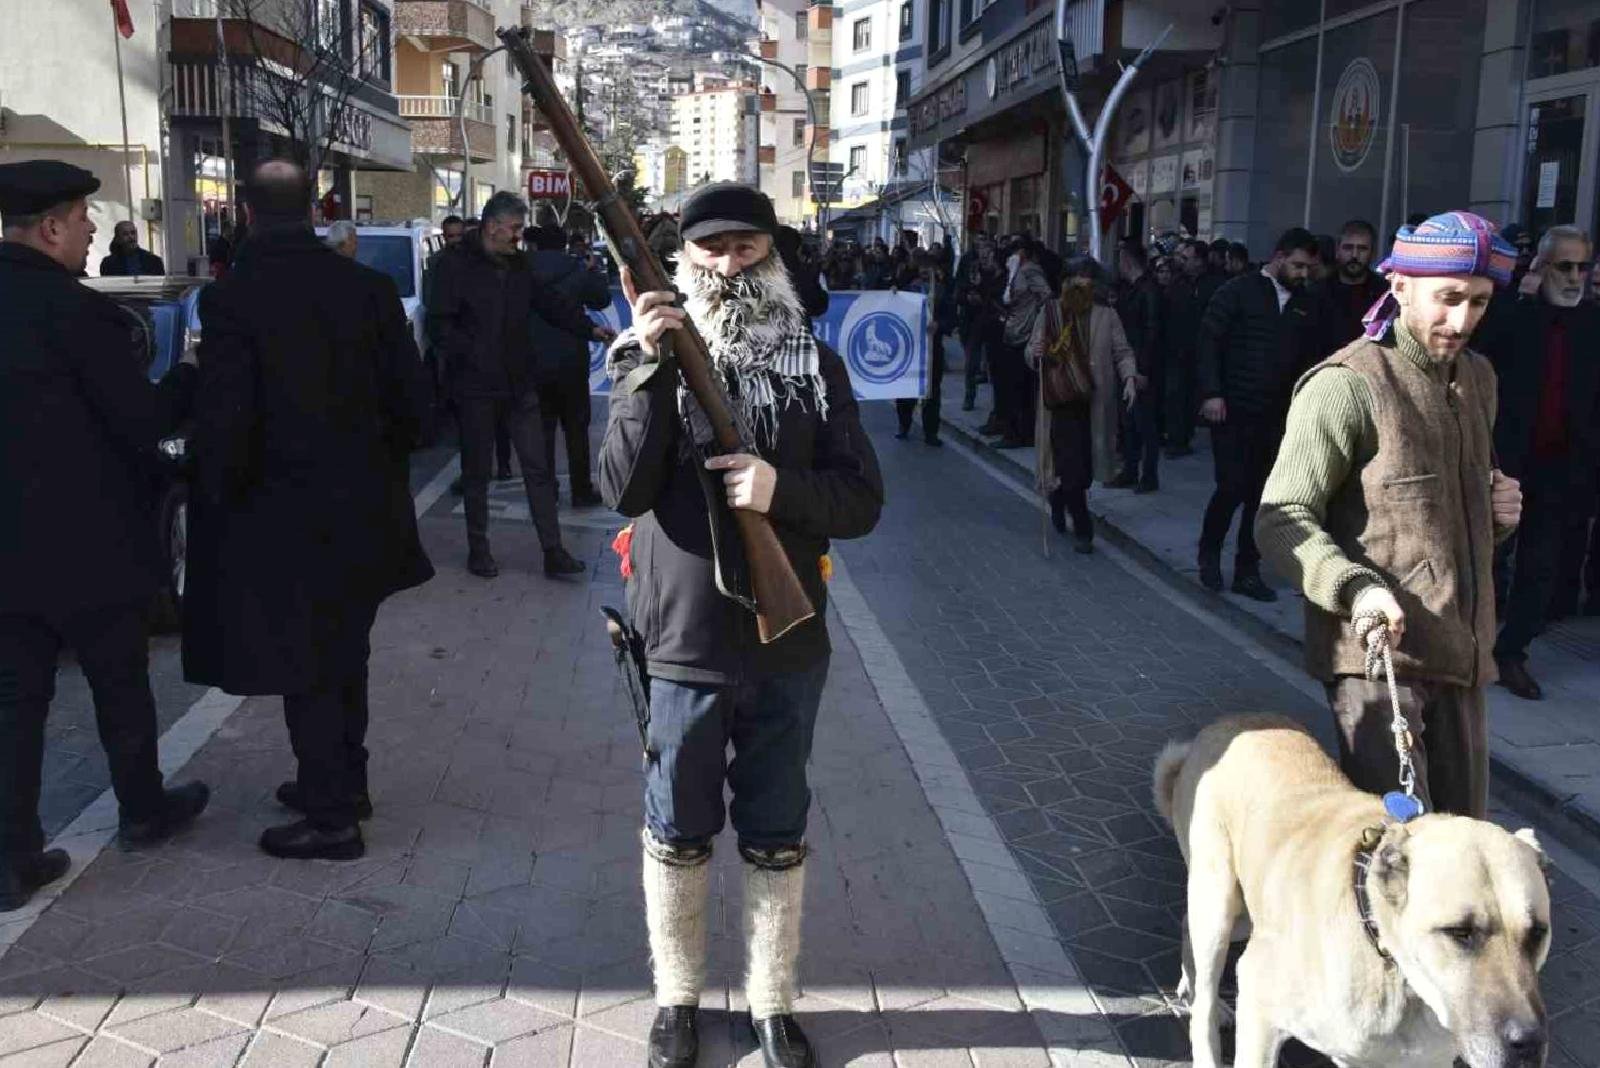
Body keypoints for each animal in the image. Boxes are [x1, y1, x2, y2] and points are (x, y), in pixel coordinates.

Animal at [1152, 716, 1548, 1068]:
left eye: (1538, 934)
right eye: (1459, 933)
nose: (1528, 1044)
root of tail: (1223, 726)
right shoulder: (1259, 1006)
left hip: (1249, 912)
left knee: (1189, 925)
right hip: (1217, 903)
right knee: (1203, 1002)